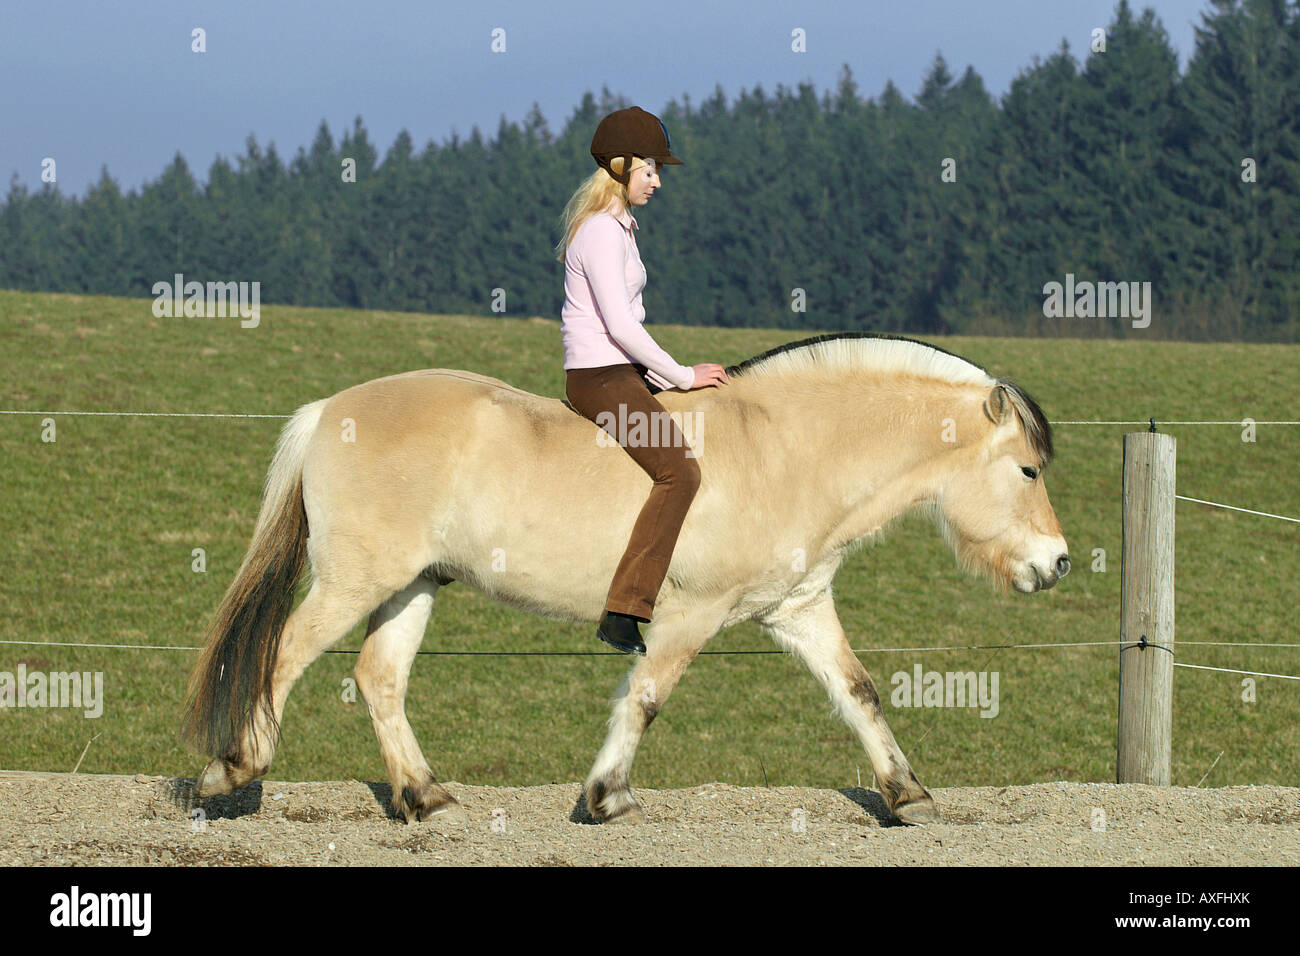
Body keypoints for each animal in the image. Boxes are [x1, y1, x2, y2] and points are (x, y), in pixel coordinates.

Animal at [183, 332, 1066, 827]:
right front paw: (607, 796)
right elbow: (645, 699)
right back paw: (233, 769)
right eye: (1027, 470)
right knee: (282, 657)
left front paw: (907, 795)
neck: (785, 448)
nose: (1056, 563)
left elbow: (859, 694)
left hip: (411, 586)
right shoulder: (689, 616)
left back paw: (426, 797)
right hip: (353, 583)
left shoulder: (799, 609)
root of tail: (328, 411)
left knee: (379, 678)